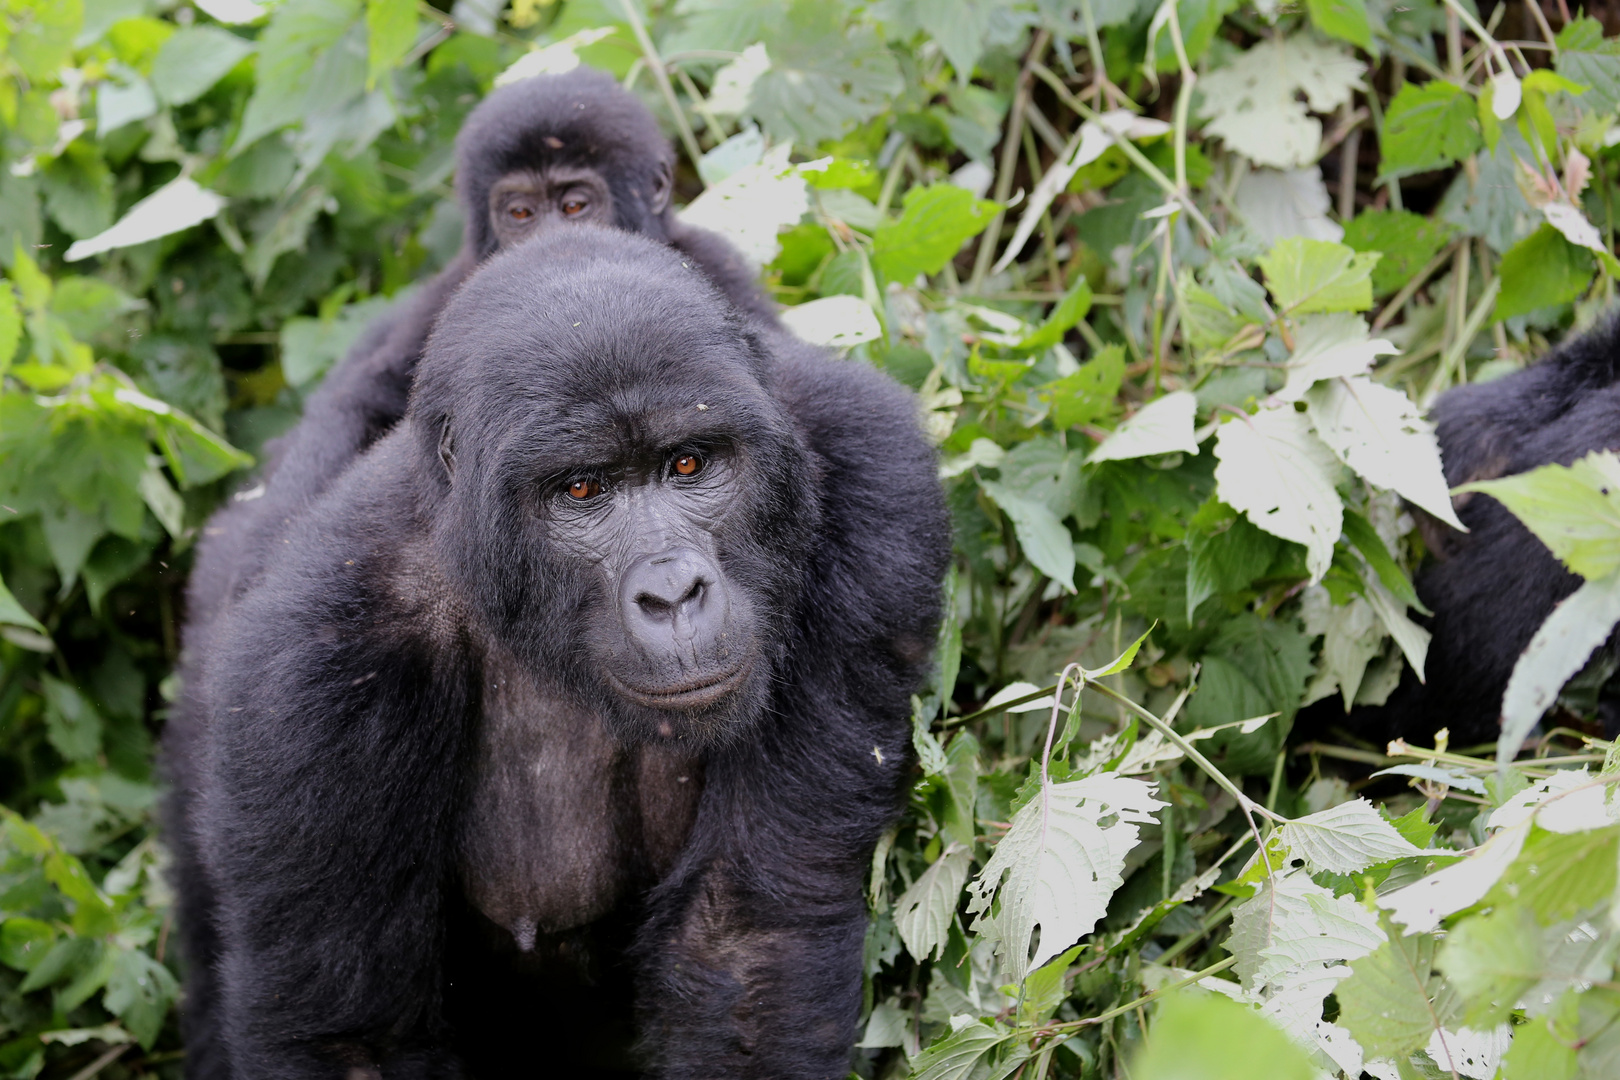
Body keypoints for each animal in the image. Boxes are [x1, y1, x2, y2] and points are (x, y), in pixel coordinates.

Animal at [166, 226, 946, 1075]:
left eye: (689, 463)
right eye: (581, 491)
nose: (673, 593)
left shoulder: (872, 478)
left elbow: (747, 940)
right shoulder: (309, 676)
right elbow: (354, 1040)